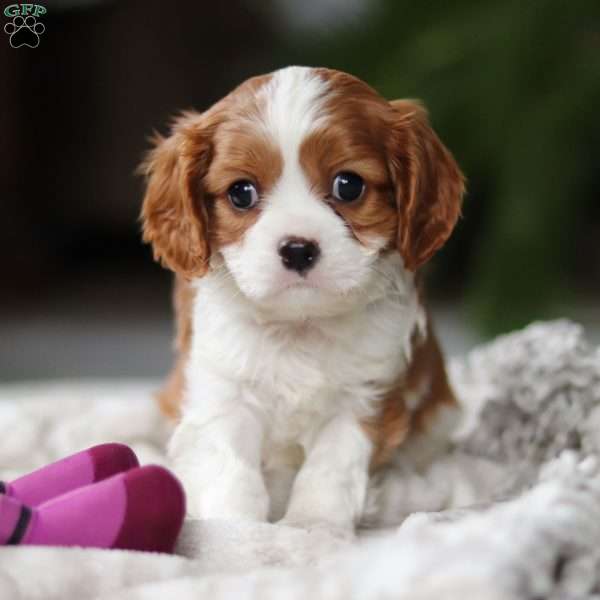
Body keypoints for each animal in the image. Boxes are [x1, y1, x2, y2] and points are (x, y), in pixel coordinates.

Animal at [139, 68, 464, 532]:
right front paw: (235, 531)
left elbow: (329, 468)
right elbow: (231, 469)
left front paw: (312, 527)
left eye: (349, 186)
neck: (300, 325)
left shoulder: (364, 396)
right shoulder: (223, 387)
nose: (297, 249)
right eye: (241, 193)